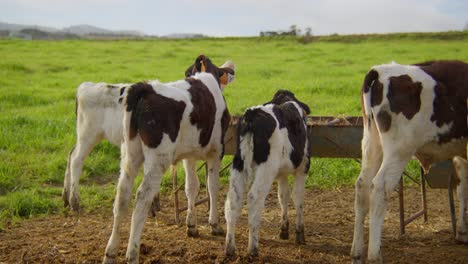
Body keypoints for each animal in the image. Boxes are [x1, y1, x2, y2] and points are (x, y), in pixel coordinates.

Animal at [102, 54, 234, 262]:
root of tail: (146, 89)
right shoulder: (216, 150)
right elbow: (212, 186)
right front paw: (214, 224)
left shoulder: (189, 155)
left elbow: (191, 186)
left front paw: (192, 225)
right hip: (158, 160)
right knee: (142, 196)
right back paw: (132, 254)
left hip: (130, 155)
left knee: (122, 195)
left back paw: (111, 252)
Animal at [226, 89, 312, 256]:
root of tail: (252, 114)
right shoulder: (303, 167)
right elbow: (298, 198)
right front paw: (300, 234)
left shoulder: (281, 173)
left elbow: (283, 196)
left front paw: (284, 230)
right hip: (266, 167)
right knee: (254, 198)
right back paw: (253, 249)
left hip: (239, 162)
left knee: (233, 200)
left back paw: (230, 248)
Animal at [352, 60, 468, 262]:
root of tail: (380, 70)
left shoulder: (461, 152)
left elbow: (462, 189)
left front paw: (462, 233)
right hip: (399, 152)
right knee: (379, 187)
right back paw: (375, 255)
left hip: (372, 146)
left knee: (362, 185)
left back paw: (357, 252)